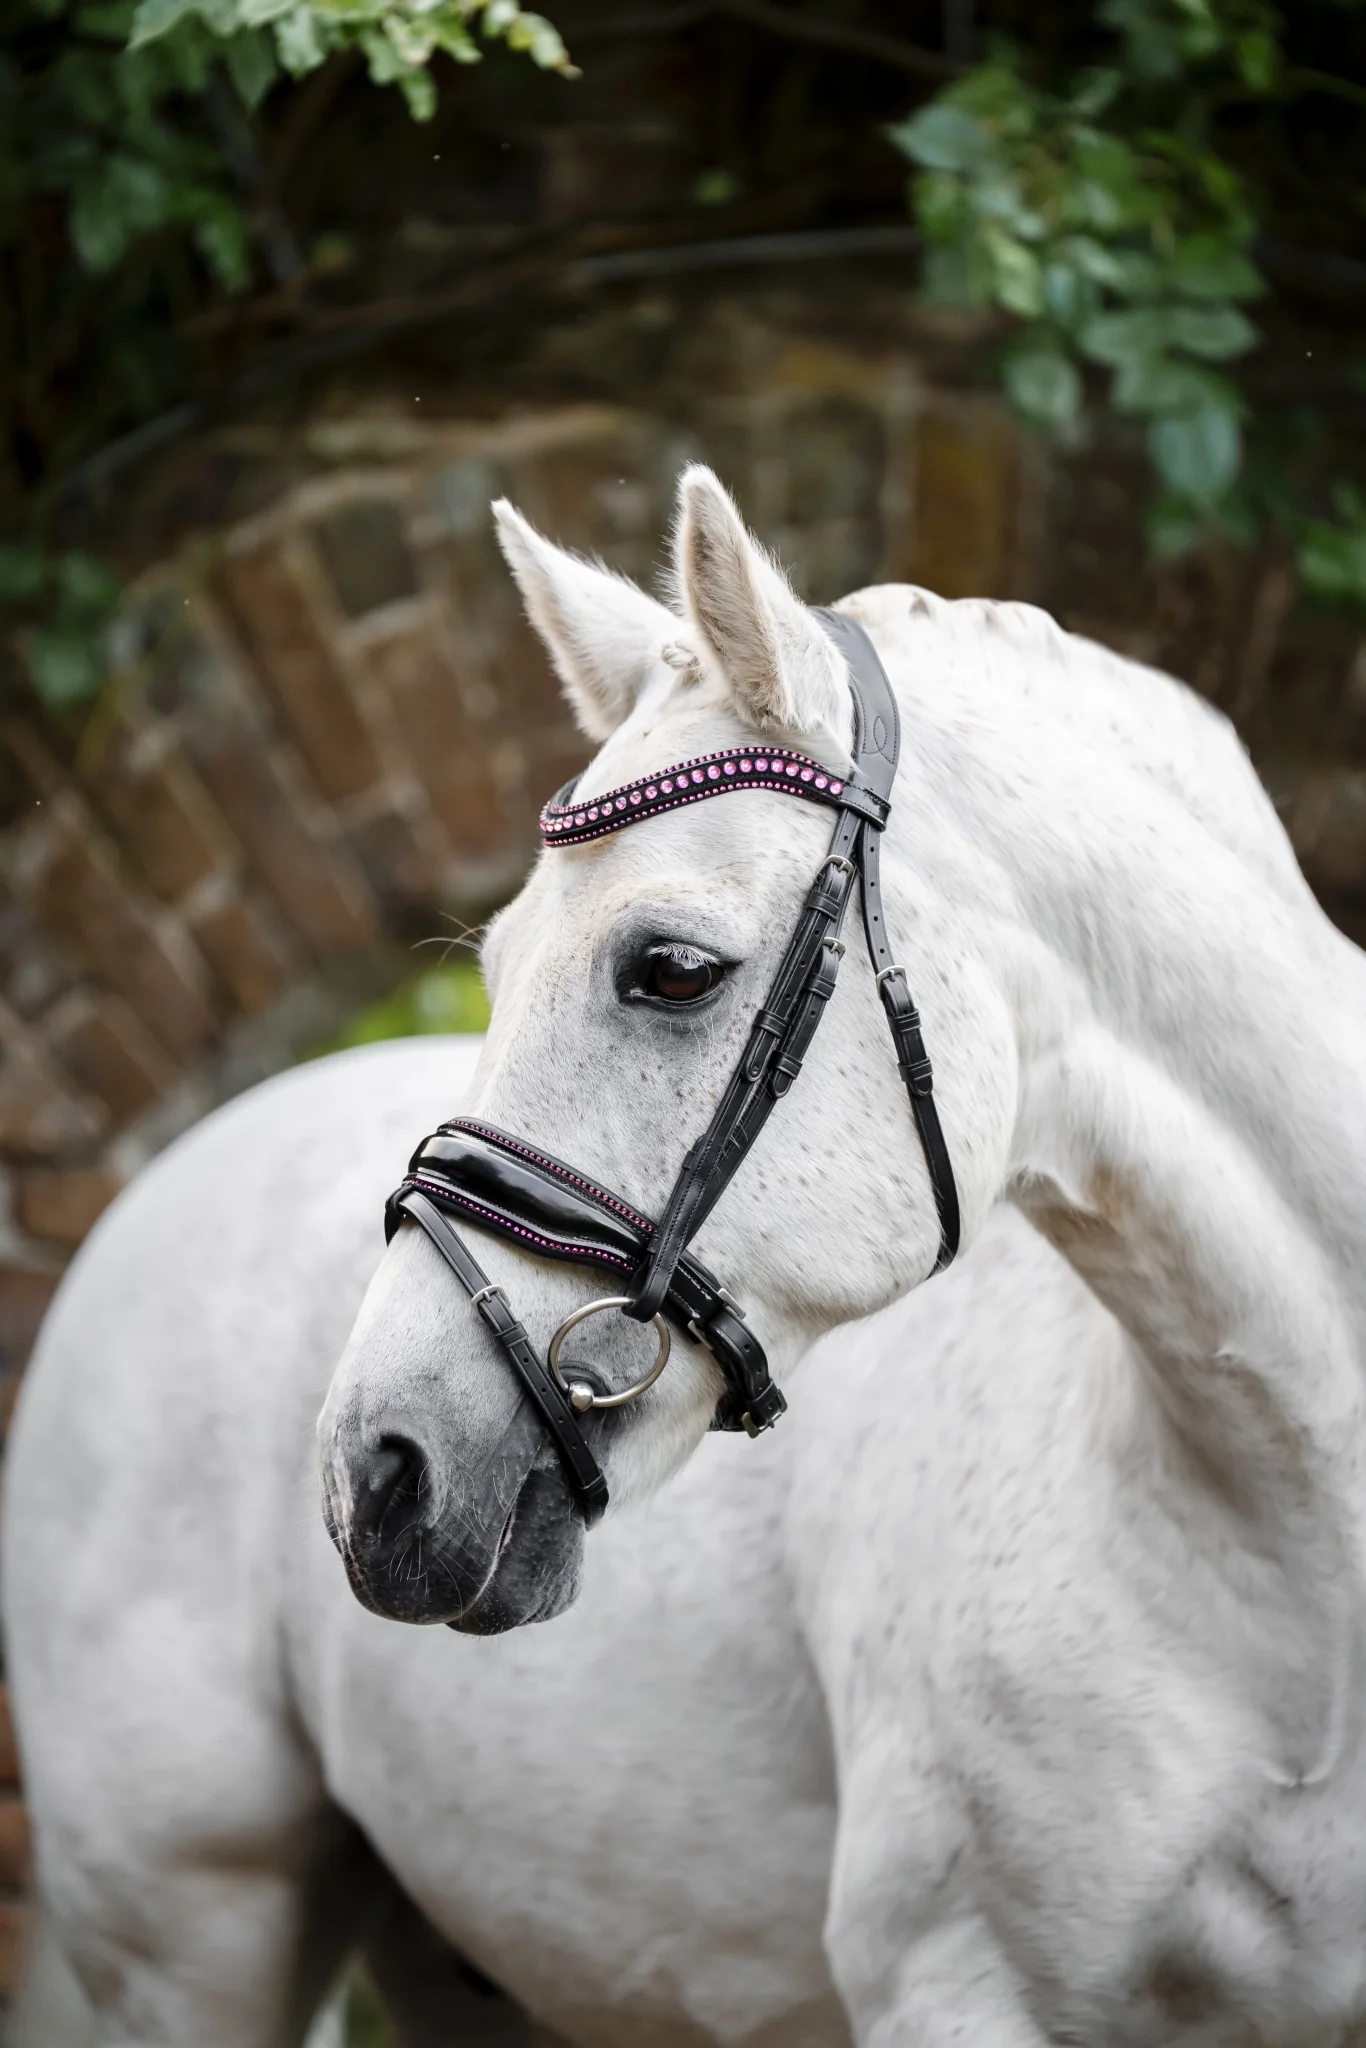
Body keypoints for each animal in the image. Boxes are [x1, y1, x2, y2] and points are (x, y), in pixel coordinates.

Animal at [8, 463, 1366, 2045]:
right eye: (495, 967)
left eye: (669, 969)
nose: (376, 1476)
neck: (1295, 1548)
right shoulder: (954, 1985)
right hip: (192, 1938)